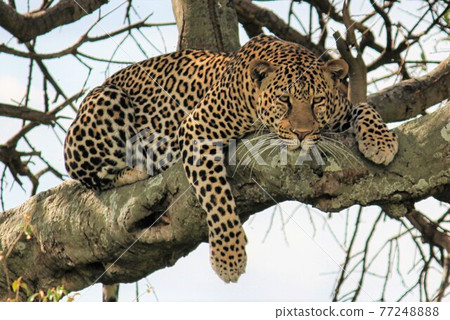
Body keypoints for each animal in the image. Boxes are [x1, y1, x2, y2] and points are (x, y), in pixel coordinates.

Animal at [62, 34, 398, 290]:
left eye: (317, 101)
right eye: (284, 100)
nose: (302, 134)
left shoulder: (340, 111)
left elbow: (364, 107)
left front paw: (381, 141)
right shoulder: (197, 130)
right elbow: (217, 198)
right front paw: (229, 258)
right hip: (104, 104)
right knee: (88, 175)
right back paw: (137, 169)